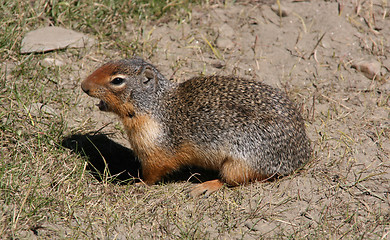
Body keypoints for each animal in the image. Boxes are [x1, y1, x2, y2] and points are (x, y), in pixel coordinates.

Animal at [81, 58, 310, 197]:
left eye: (117, 80)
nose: (83, 86)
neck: (155, 106)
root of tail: (302, 154)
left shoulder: (156, 150)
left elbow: (153, 173)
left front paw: (138, 184)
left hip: (240, 162)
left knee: (235, 180)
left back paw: (204, 187)